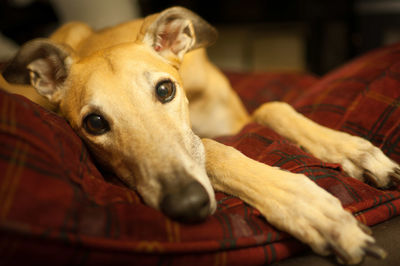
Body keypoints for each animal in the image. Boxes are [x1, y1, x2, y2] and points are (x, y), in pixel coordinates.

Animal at [1, 5, 398, 264]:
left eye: (165, 89)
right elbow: (212, 147)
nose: (188, 205)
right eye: (95, 123)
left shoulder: (238, 121)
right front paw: (311, 209)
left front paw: (357, 152)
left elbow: (273, 107)